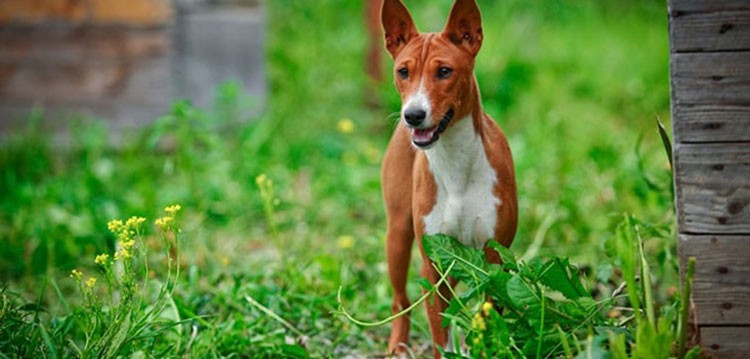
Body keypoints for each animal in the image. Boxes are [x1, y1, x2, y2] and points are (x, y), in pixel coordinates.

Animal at [382, 0, 516, 358]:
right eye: (403, 72)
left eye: (444, 71)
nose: (413, 115)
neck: (455, 166)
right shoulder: (433, 264)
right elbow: (439, 332)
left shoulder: (493, 260)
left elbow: (488, 320)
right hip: (398, 236)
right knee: (400, 301)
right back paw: (398, 345)